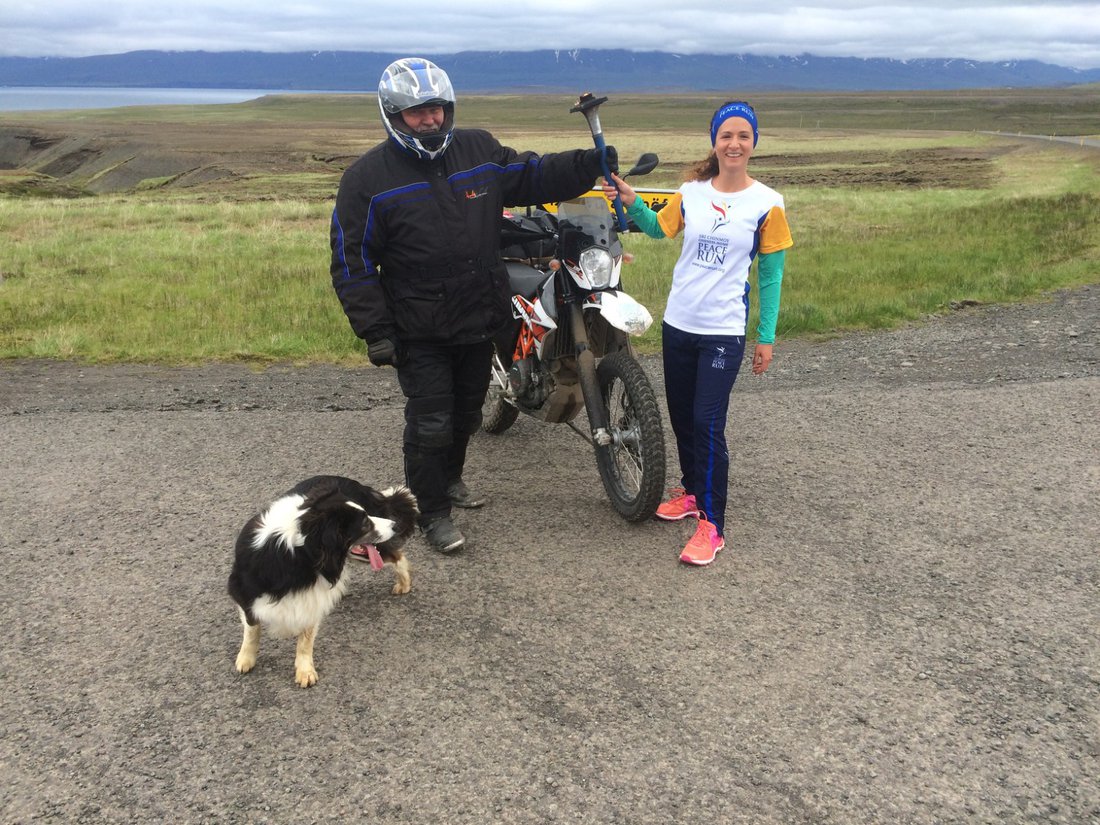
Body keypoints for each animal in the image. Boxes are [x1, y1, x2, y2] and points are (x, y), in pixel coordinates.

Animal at [228, 475, 418, 687]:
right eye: (364, 524)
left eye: (367, 517)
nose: (394, 525)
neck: (296, 552)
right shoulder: (244, 591)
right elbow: (252, 629)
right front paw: (246, 659)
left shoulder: (312, 597)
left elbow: (305, 639)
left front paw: (305, 671)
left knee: (396, 556)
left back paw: (404, 584)